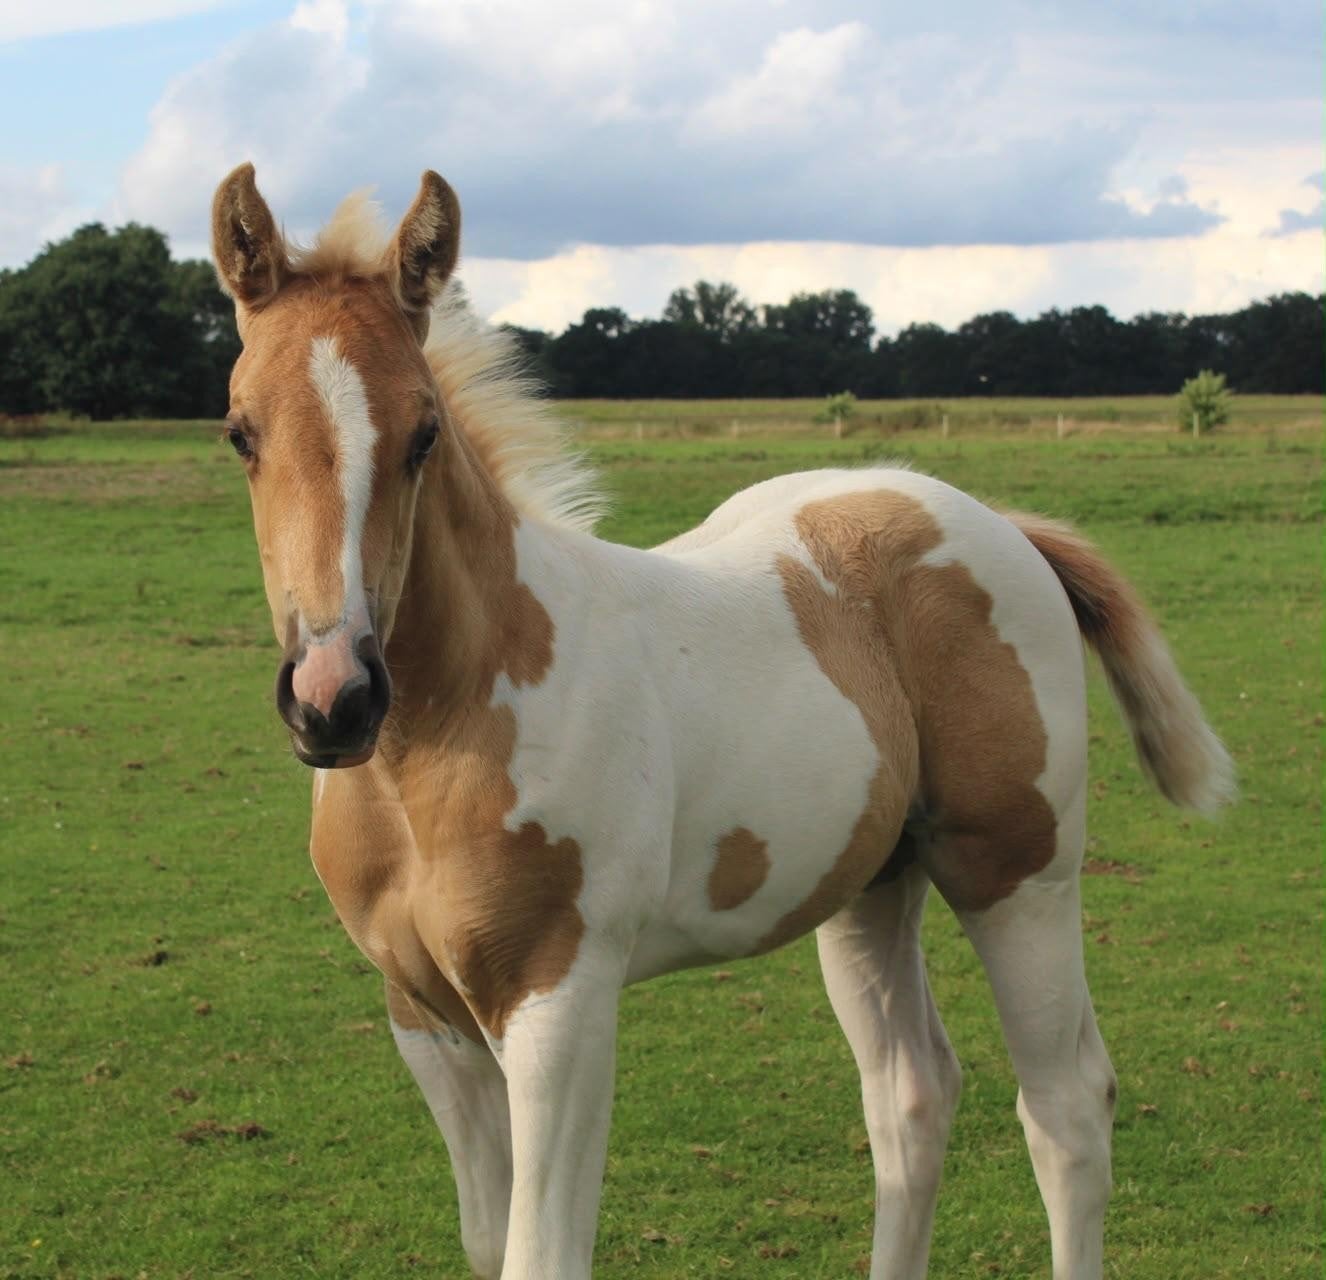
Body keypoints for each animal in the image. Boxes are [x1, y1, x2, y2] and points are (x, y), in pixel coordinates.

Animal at [210, 163, 1234, 1280]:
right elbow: (489, 1243)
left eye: (424, 432)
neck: (435, 749)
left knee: (1065, 1108)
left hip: (1019, 874)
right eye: (239, 432)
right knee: (912, 1096)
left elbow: (541, 1250)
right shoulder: (423, 1016)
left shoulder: (561, 1001)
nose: (334, 697)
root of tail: (1000, 524)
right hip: (873, 884)